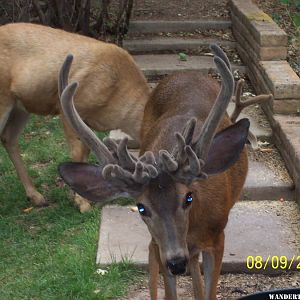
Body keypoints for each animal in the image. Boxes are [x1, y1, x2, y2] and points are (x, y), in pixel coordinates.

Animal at [0, 22, 149, 212]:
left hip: (21, 106)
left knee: (8, 137)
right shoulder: (68, 107)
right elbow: (77, 152)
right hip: (3, 98)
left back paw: (36, 197)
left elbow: (85, 151)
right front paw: (82, 203)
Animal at [58, 45, 264, 300]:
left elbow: (210, 293)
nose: (176, 262)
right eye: (141, 207)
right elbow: (170, 291)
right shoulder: (161, 245)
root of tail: (185, 72)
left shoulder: (217, 238)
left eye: (188, 198)